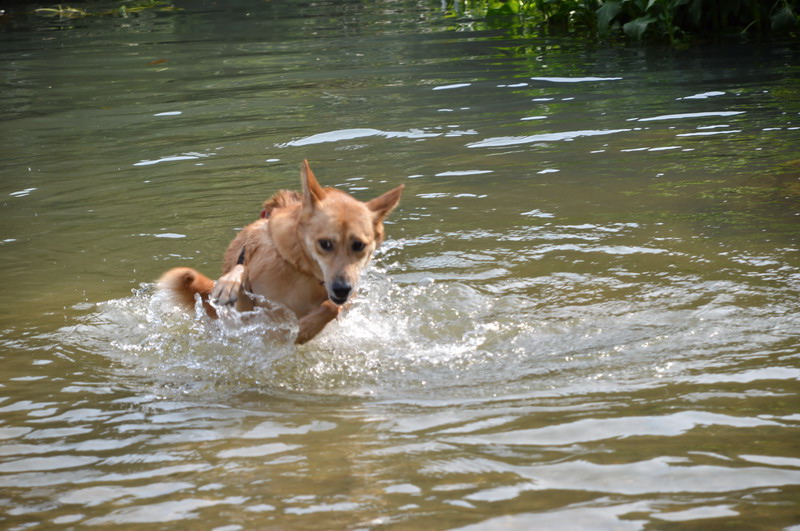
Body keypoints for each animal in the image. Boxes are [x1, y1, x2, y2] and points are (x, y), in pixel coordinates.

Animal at [157, 161, 404, 344]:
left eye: (359, 245)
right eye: (325, 244)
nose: (341, 288)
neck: (303, 271)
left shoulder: (346, 294)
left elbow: (331, 307)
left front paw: (304, 330)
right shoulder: (248, 311)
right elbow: (242, 272)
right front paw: (229, 284)